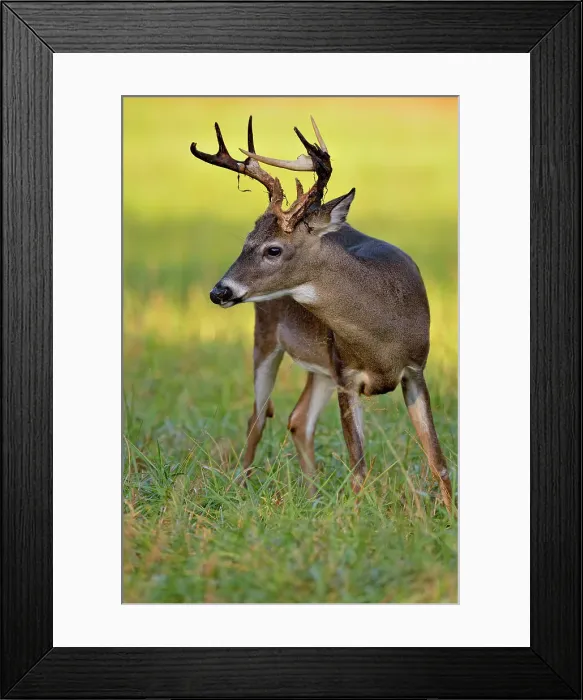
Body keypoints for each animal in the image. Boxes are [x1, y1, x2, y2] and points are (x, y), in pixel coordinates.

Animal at [190, 116, 453, 511]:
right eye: (245, 243)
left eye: (273, 249)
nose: (219, 291)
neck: (383, 335)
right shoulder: (346, 374)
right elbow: (359, 468)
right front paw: (357, 518)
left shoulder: (414, 370)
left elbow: (438, 459)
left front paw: (450, 516)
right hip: (267, 338)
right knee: (257, 417)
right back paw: (242, 490)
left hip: (320, 365)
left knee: (298, 420)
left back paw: (312, 500)